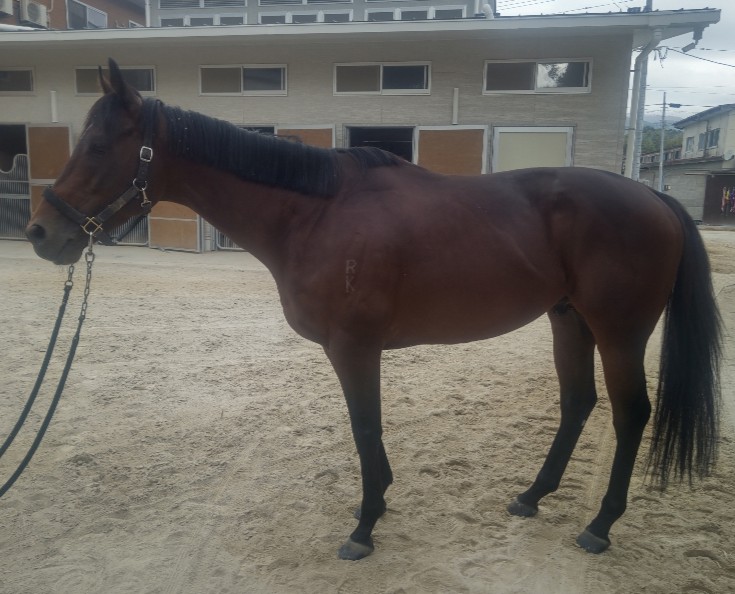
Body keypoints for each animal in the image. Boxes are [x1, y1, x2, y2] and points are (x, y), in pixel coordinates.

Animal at [25, 59, 721, 560]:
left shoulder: (353, 348)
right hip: (568, 319)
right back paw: (531, 497)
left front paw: (364, 527)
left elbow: (365, 428)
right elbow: (369, 430)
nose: (39, 233)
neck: (316, 214)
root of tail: (654, 198)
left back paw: (600, 525)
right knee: (577, 404)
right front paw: (378, 508)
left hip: (618, 331)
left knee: (631, 414)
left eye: (97, 145)